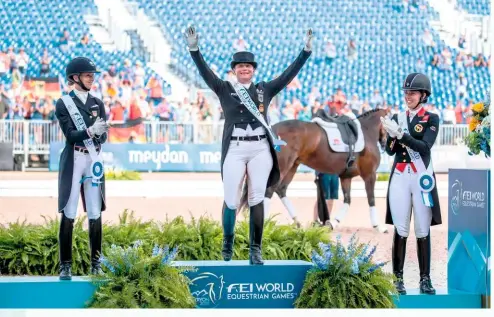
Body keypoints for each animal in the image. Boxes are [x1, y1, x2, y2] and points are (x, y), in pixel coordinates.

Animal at [237, 108, 392, 232]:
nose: (386, 143)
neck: (367, 131)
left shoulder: (346, 177)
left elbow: (347, 201)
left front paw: (333, 223)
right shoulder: (370, 175)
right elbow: (371, 199)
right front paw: (379, 227)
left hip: (293, 166)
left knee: (281, 189)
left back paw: (298, 223)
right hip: (283, 167)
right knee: (269, 191)